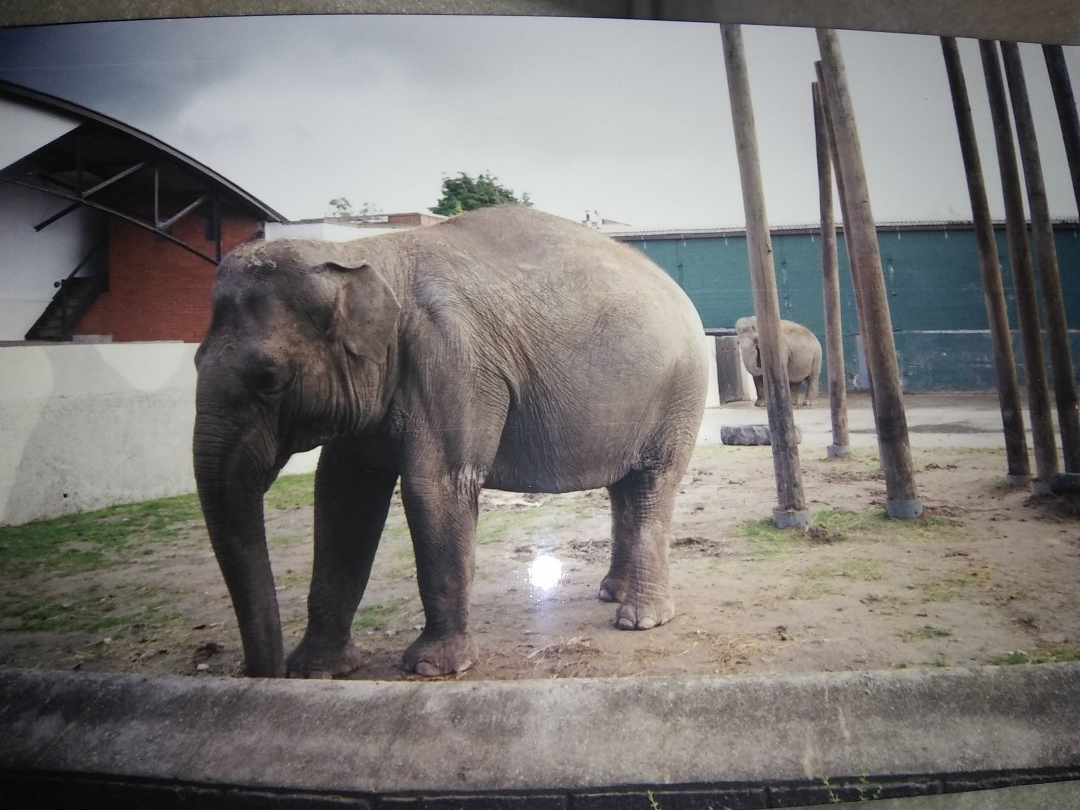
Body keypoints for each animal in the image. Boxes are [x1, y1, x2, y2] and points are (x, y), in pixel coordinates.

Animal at [193, 205, 710, 679]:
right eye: (195, 360)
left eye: (269, 378)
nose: (262, 674)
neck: (364, 255)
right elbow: (343, 497)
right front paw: (315, 670)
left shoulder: (451, 361)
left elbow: (434, 489)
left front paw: (431, 669)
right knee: (624, 488)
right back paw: (611, 593)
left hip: (679, 396)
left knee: (651, 486)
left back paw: (639, 619)